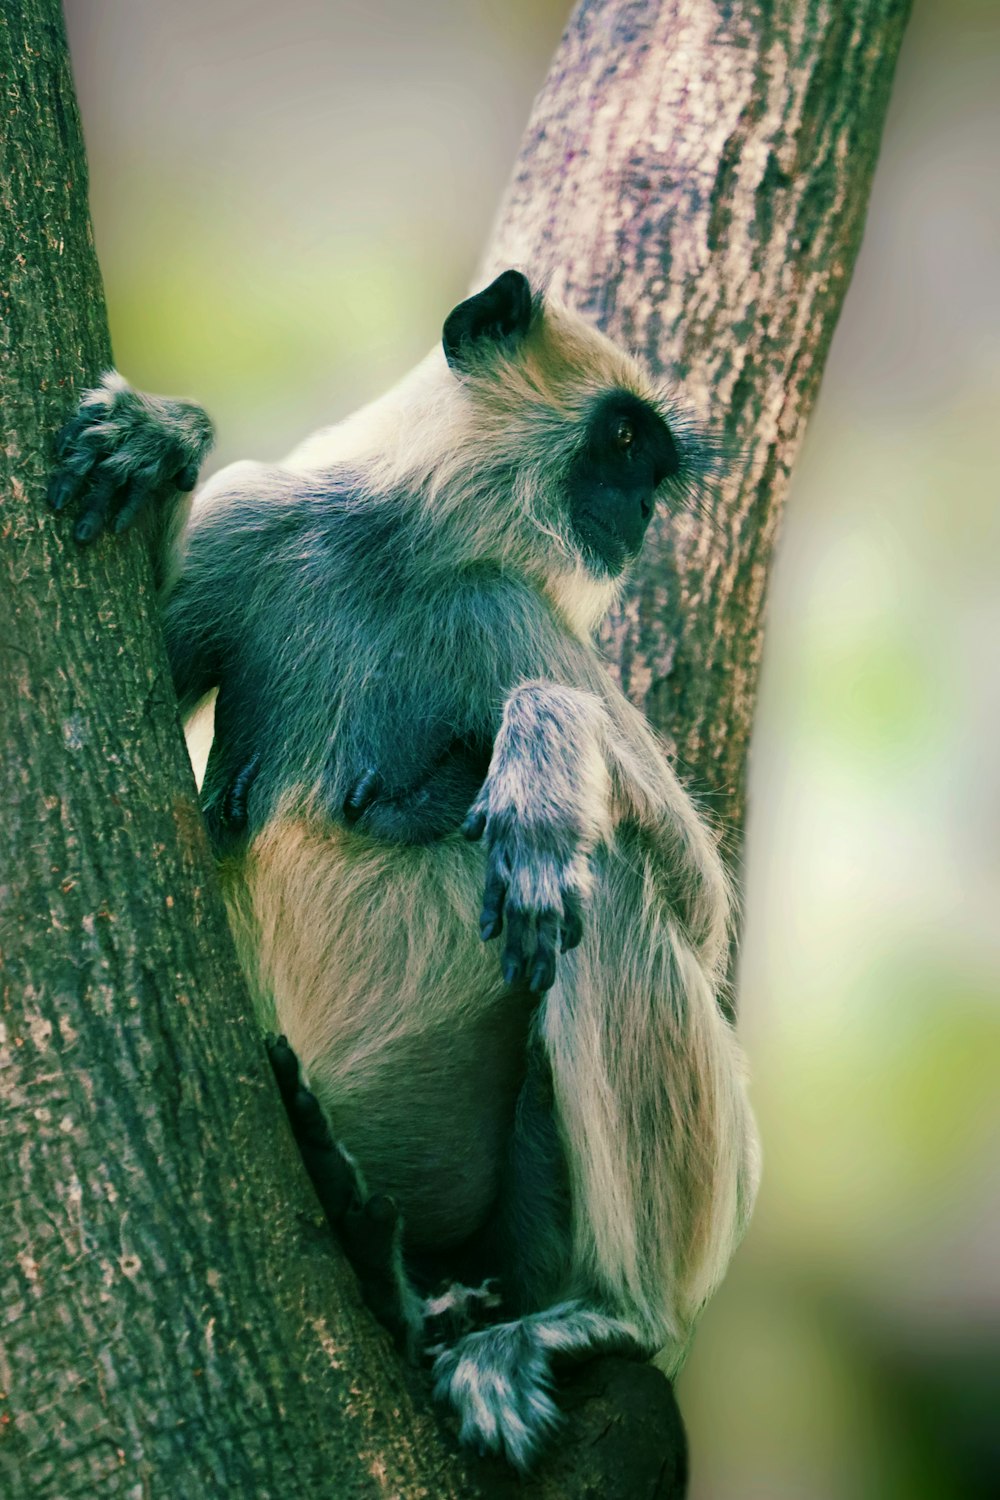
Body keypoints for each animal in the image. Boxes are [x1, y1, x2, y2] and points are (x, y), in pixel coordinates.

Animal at [48, 270, 758, 1476]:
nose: (643, 516)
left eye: (652, 466)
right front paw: (161, 436)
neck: (402, 555)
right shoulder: (261, 526)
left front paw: (536, 756)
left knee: (603, 882)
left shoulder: (505, 610)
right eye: (624, 442)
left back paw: (595, 1313)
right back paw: (370, 1253)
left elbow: (701, 915)